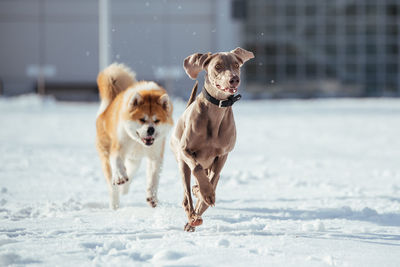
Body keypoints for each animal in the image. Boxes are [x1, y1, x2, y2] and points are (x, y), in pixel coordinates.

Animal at [97, 63, 173, 210]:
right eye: (142, 119)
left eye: (157, 120)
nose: (150, 130)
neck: (138, 142)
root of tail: (105, 111)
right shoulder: (118, 146)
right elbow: (117, 161)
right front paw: (120, 177)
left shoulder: (155, 156)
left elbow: (153, 178)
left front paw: (152, 197)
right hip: (107, 155)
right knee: (112, 186)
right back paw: (114, 204)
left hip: (134, 161)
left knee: (130, 173)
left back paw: (125, 188)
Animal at [170, 47, 255, 231]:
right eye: (218, 66)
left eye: (236, 65)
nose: (234, 79)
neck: (216, 111)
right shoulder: (186, 150)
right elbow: (197, 169)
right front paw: (205, 192)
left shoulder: (222, 155)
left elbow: (213, 181)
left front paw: (206, 195)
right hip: (181, 162)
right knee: (186, 196)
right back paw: (192, 215)